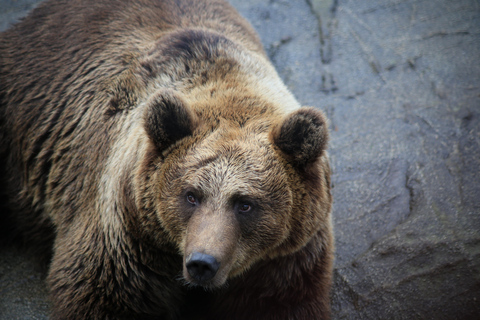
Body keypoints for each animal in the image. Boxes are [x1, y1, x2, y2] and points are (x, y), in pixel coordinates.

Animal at [0, 0, 334, 320]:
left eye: (245, 204)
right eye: (191, 195)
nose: (202, 263)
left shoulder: (284, 261)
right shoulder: (126, 238)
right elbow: (102, 296)